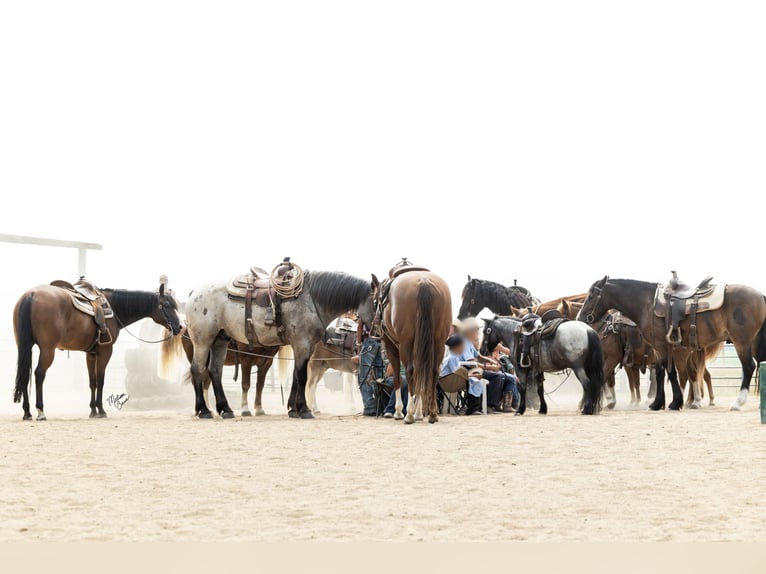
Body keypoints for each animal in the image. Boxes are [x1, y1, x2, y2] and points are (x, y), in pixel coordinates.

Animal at [13, 279, 183, 420]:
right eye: (167, 306)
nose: (180, 326)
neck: (114, 308)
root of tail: (31, 295)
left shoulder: (91, 354)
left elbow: (92, 381)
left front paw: (93, 410)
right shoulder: (105, 352)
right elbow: (101, 380)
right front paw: (101, 410)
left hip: (25, 347)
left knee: (24, 374)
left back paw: (27, 412)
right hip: (48, 350)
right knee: (39, 374)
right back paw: (40, 411)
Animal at [184, 269, 374, 419]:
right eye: (376, 301)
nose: (378, 331)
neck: (311, 300)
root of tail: (194, 293)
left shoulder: (305, 348)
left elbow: (296, 376)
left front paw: (294, 409)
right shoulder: (301, 344)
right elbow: (301, 376)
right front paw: (304, 410)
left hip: (219, 341)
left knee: (215, 371)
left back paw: (225, 409)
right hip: (202, 342)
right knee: (198, 370)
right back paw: (204, 411)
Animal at [373, 268, 452, 424]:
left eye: (374, 301)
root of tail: (424, 281)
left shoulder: (391, 346)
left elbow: (397, 378)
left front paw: (399, 412)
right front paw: (419, 413)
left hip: (405, 344)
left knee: (410, 372)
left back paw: (408, 414)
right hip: (438, 343)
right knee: (432, 372)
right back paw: (432, 414)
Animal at [577, 276, 766, 411]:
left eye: (591, 296)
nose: (581, 318)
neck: (647, 304)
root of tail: (759, 295)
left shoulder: (661, 346)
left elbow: (670, 373)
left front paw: (674, 403)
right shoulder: (659, 349)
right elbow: (662, 372)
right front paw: (658, 403)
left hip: (741, 342)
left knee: (748, 367)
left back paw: (737, 403)